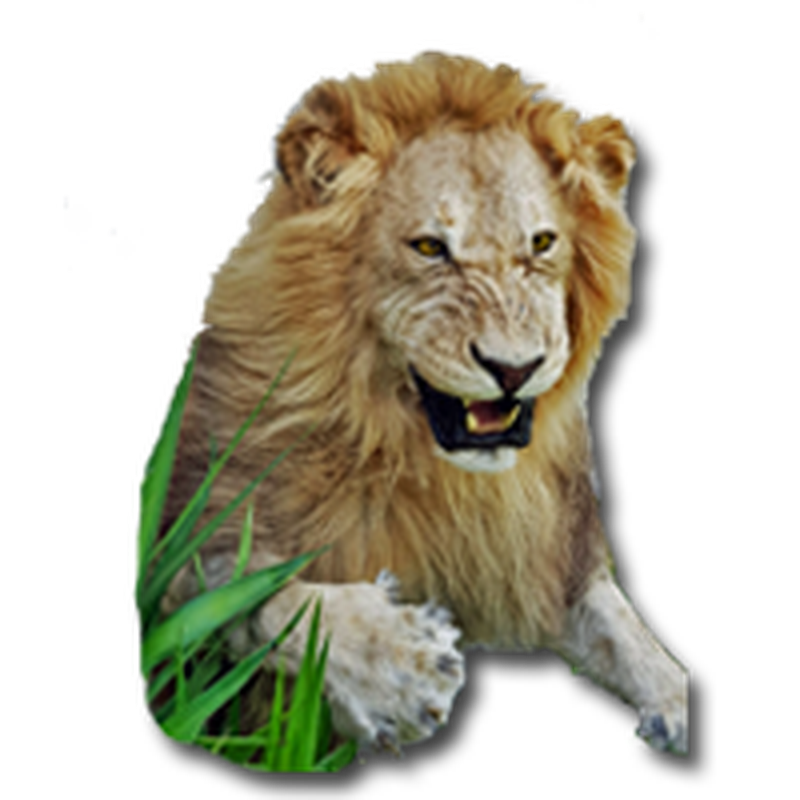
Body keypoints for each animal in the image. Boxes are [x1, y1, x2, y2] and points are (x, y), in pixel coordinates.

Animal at [159, 49, 689, 758]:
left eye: (542, 244)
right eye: (431, 248)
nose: (515, 368)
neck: (421, 461)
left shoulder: (545, 556)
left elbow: (625, 634)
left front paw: (678, 698)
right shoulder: (183, 529)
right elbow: (246, 593)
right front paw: (396, 670)